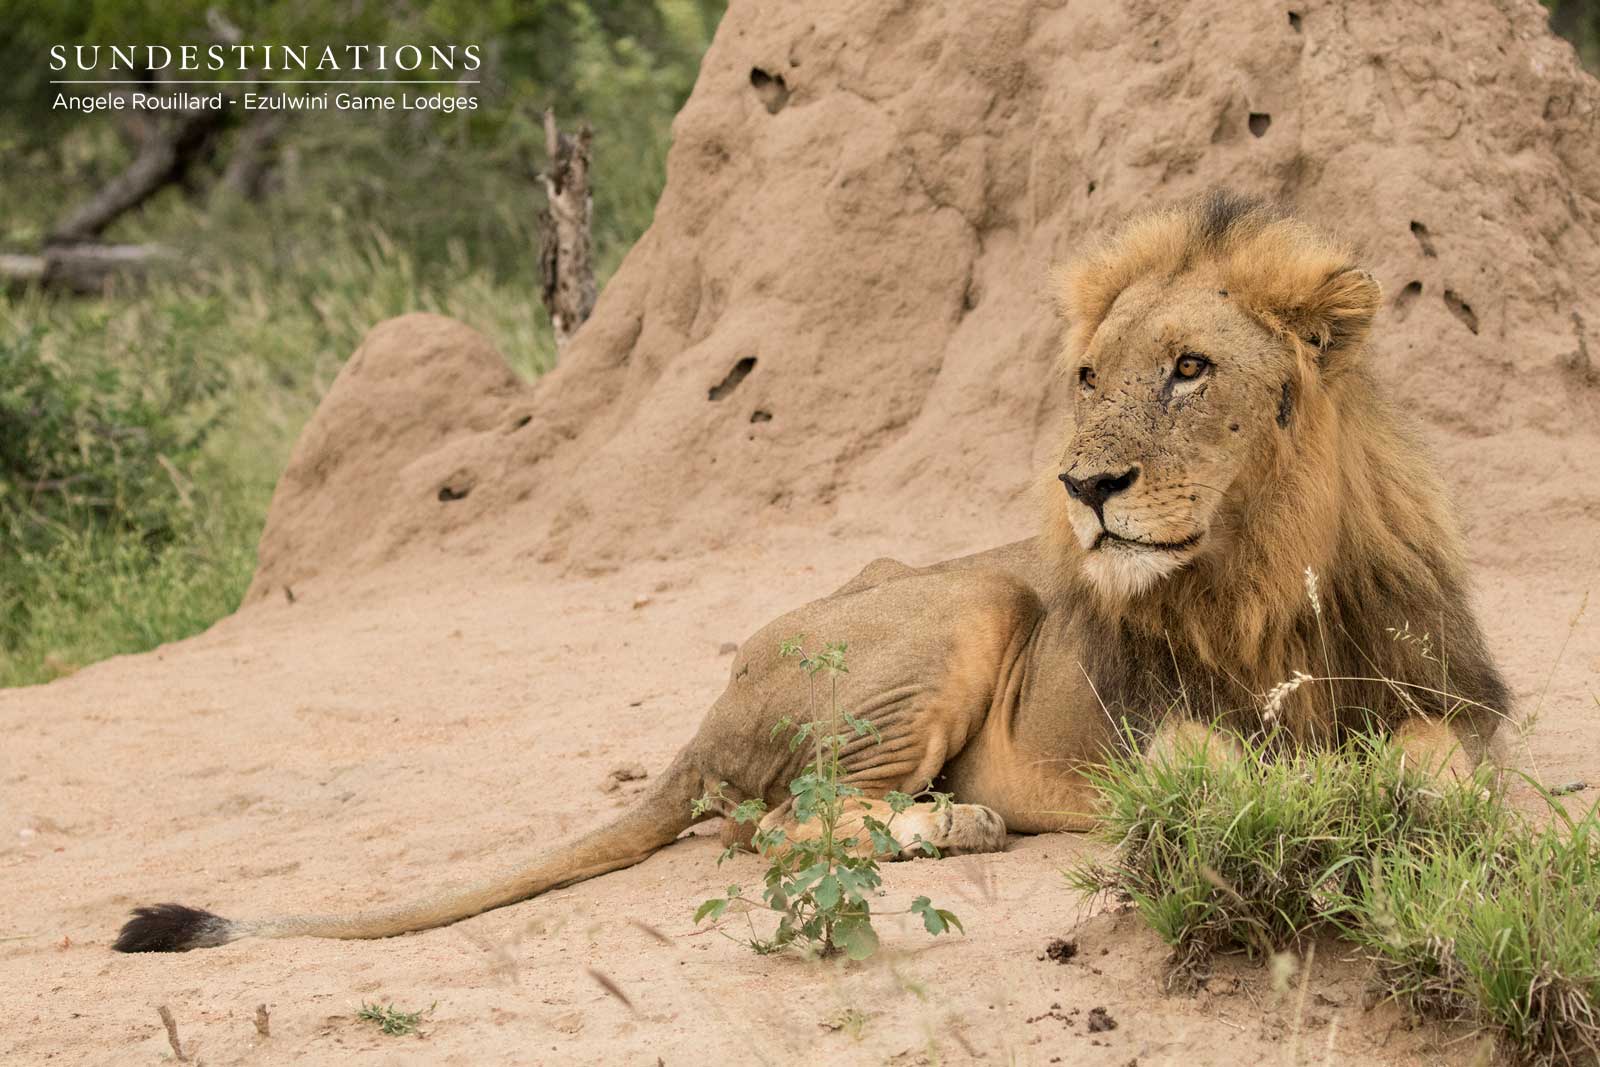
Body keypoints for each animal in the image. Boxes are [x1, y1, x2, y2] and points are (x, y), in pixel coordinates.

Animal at [114, 191, 1509, 952]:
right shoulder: (1157, 736)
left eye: (1188, 368)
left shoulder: (1453, 701)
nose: (1082, 489)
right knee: (775, 826)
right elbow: (1239, 785)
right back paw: (948, 822)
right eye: (1087, 375)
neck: (1265, 576)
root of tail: (714, 699)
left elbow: (1440, 778)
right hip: (970, 600)